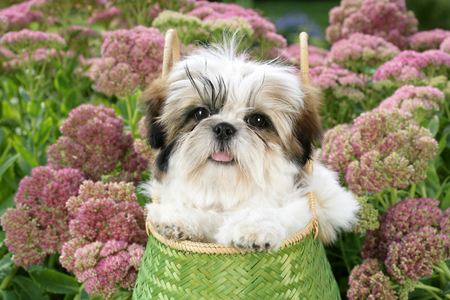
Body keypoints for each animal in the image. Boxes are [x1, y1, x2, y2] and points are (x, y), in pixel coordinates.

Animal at [141, 36, 358, 252]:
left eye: (257, 120)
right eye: (201, 113)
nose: (224, 128)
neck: (226, 190)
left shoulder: (301, 206)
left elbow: (266, 211)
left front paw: (252, 229)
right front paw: (179, 219)